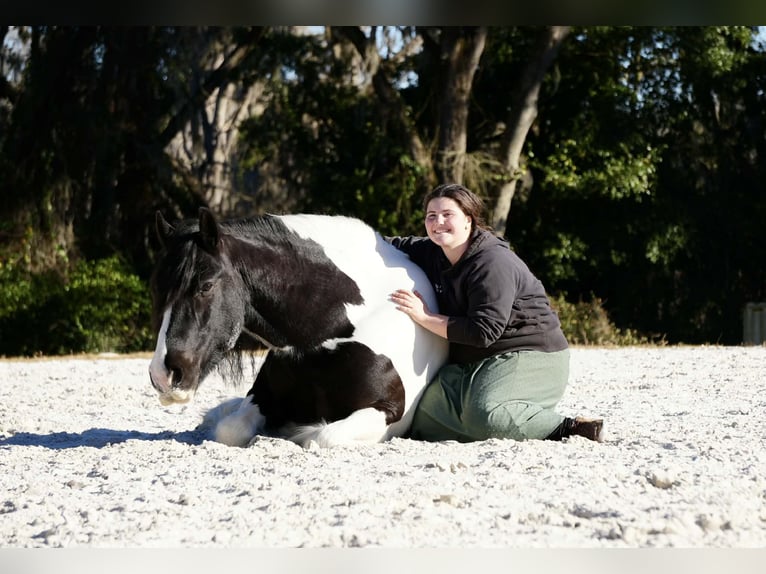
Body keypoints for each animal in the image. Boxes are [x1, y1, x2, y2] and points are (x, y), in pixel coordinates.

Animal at [148, 207, 448, 447]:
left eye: (206, 285)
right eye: (157, 288)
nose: (163, 375)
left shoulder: (386, 411)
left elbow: (321, 436)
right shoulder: (261, 397)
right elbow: (230, 429)